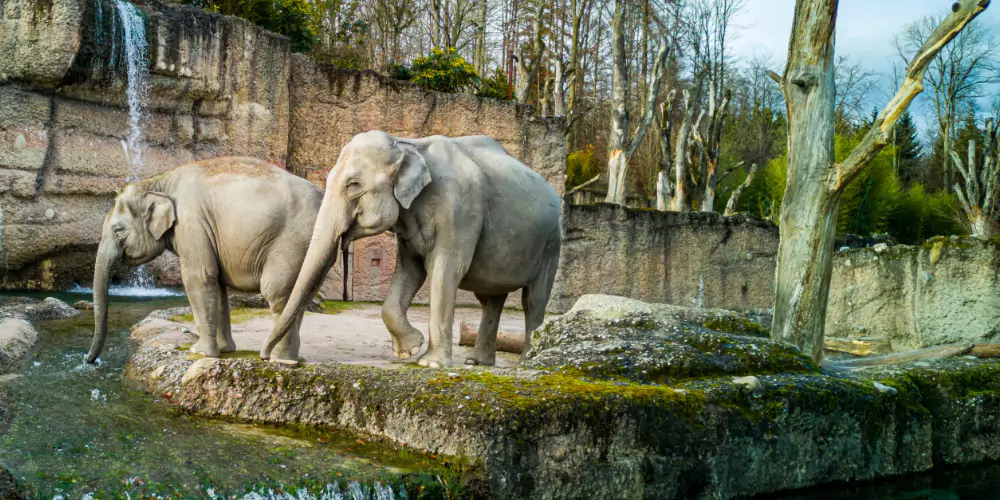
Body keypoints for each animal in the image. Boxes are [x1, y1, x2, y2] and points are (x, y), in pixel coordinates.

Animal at [86, 155, 322, 364]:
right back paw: (287, 357)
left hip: (291, 242)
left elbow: (199, 276)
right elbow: (216, 283)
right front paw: (225, 350)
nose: (89, 360)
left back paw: (279, 359)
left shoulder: (190, 222)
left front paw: (199, 352)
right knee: (300, 294)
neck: (160, 181)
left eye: (118, 230)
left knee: (277, 291)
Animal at [260, 131, 564, 370]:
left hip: (552, 243)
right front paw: (409, 350)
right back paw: (476, 362)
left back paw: (526, 363)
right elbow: (409, 272)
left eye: (353, 185)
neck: (409, 145)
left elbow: (446, 270)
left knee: (533, 301)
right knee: (490, 300)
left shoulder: (461, 211)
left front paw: (429, 363)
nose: (265, 357)